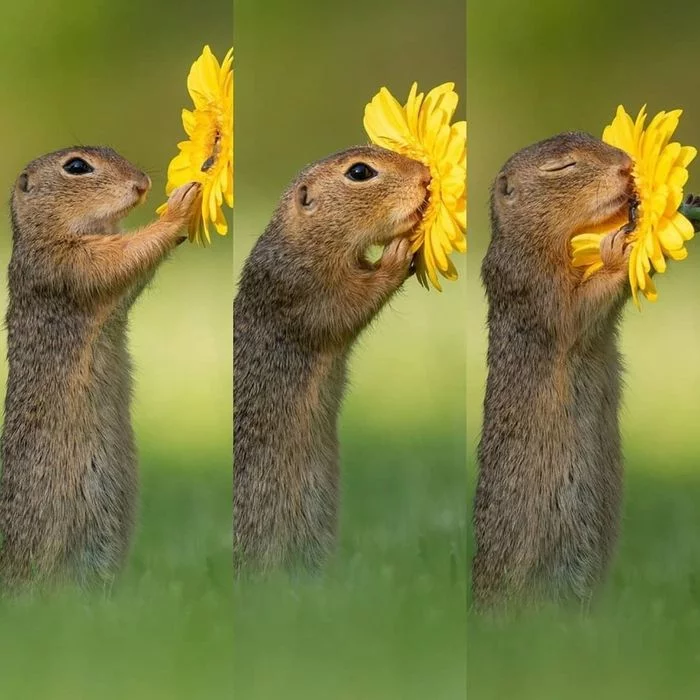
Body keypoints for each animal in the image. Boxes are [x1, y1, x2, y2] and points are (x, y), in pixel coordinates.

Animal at [0, 149, 200, 592]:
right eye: (77, 166)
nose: (143, 183)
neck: (44, 235)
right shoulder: (69, 264)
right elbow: (122, 256)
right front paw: (179, 207)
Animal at [232, 145, 430, 572]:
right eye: (359, 173)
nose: (426, 176)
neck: (302, 241)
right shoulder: (304, 289)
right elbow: (348, 305)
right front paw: (397, 253)